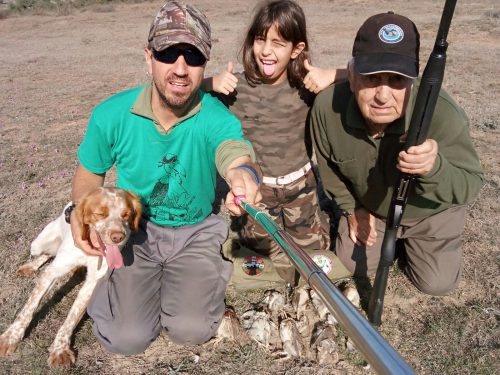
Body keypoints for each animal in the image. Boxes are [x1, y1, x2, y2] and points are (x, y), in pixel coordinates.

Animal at [0, 187, 143, 368]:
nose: (118, 237)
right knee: (46, 253)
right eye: (100, 213)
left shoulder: (93, 282)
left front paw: (60, 349)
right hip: (38, 244)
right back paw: (30, 266)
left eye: (126, 215)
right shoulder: (53, 271)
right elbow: (29, 307)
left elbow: (72, 316)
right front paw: (11, 337)